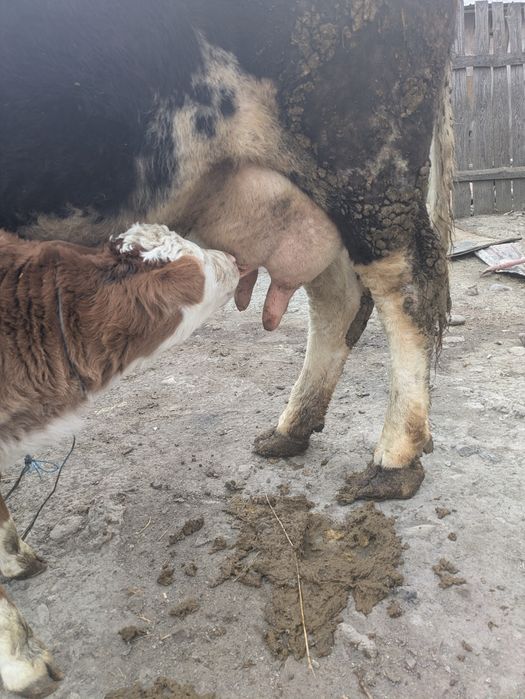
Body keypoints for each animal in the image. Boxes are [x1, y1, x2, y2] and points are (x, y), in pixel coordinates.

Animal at [0, 1, 456, 694]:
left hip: (365, 158)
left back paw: (392, 460)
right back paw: (292, 428)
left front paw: (19, 656)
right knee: (338, 292)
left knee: (408, 282)